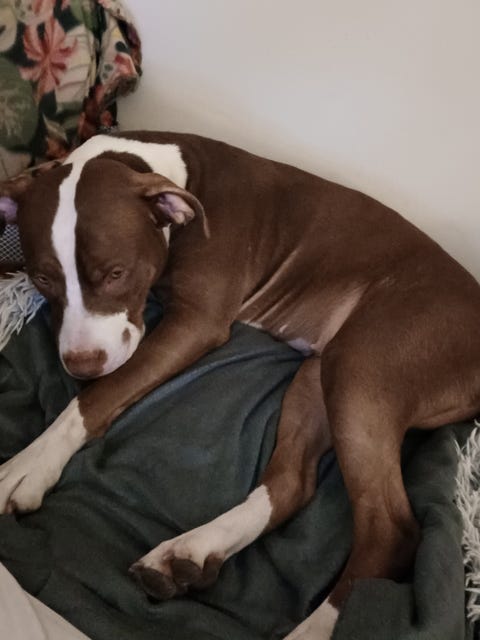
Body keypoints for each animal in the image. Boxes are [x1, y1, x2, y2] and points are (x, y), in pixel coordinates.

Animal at [1, 131, 479, 639]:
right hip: (318, 378)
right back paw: (191, 551)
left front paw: (30, 464)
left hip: (363, 367)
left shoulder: (197, 323)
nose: (82, 364)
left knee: (391, 529)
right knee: (292, 483)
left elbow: (99, 397)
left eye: (116, 273)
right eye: (42, 278)